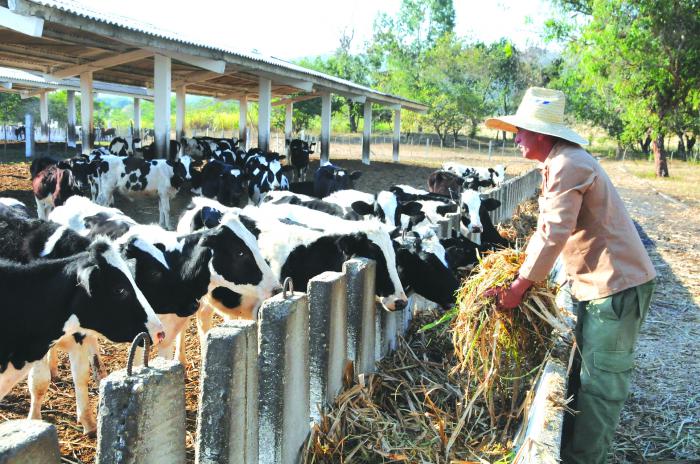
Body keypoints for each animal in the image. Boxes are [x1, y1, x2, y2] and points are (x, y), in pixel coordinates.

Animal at [0, 239, 165, 436]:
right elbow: (40, 381)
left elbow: (81, 375)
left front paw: (89, 422)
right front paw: (34, 421)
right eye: (119, 290)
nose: (160, 332)